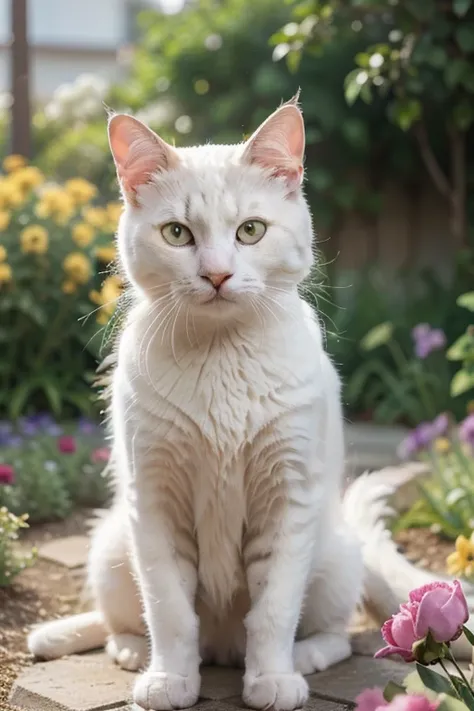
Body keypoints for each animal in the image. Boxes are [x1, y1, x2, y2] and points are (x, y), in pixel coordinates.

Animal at [27, 98, 362, 711]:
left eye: (250, 231)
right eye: (176, 233)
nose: (217, 274)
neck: (221, 355)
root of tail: (224, 650)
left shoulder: (288, 498)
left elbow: (275, 609)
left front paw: (272, 679)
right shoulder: (154, 501)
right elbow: (169, 611)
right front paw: (168, 680)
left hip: (336, 558)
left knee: (336, 635)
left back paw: (303, 658)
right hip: (112, 544)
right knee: (122, 622)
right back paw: (130, 651)